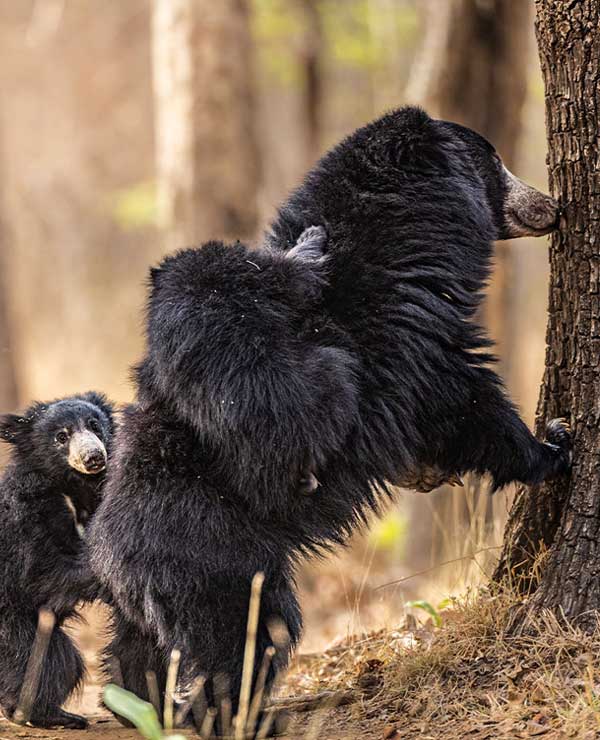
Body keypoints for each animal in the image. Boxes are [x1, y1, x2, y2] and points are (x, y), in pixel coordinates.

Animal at [86, 107, 568, 732]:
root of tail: (111, 556)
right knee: (247, 638)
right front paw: (553, 444)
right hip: (220, 561)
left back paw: (138, 703)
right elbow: (465, 399)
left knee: (137, 652)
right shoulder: (415, 333)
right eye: (496, 162)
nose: (552, 206)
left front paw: (431, 471)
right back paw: (235, 714)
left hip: (147, 595)